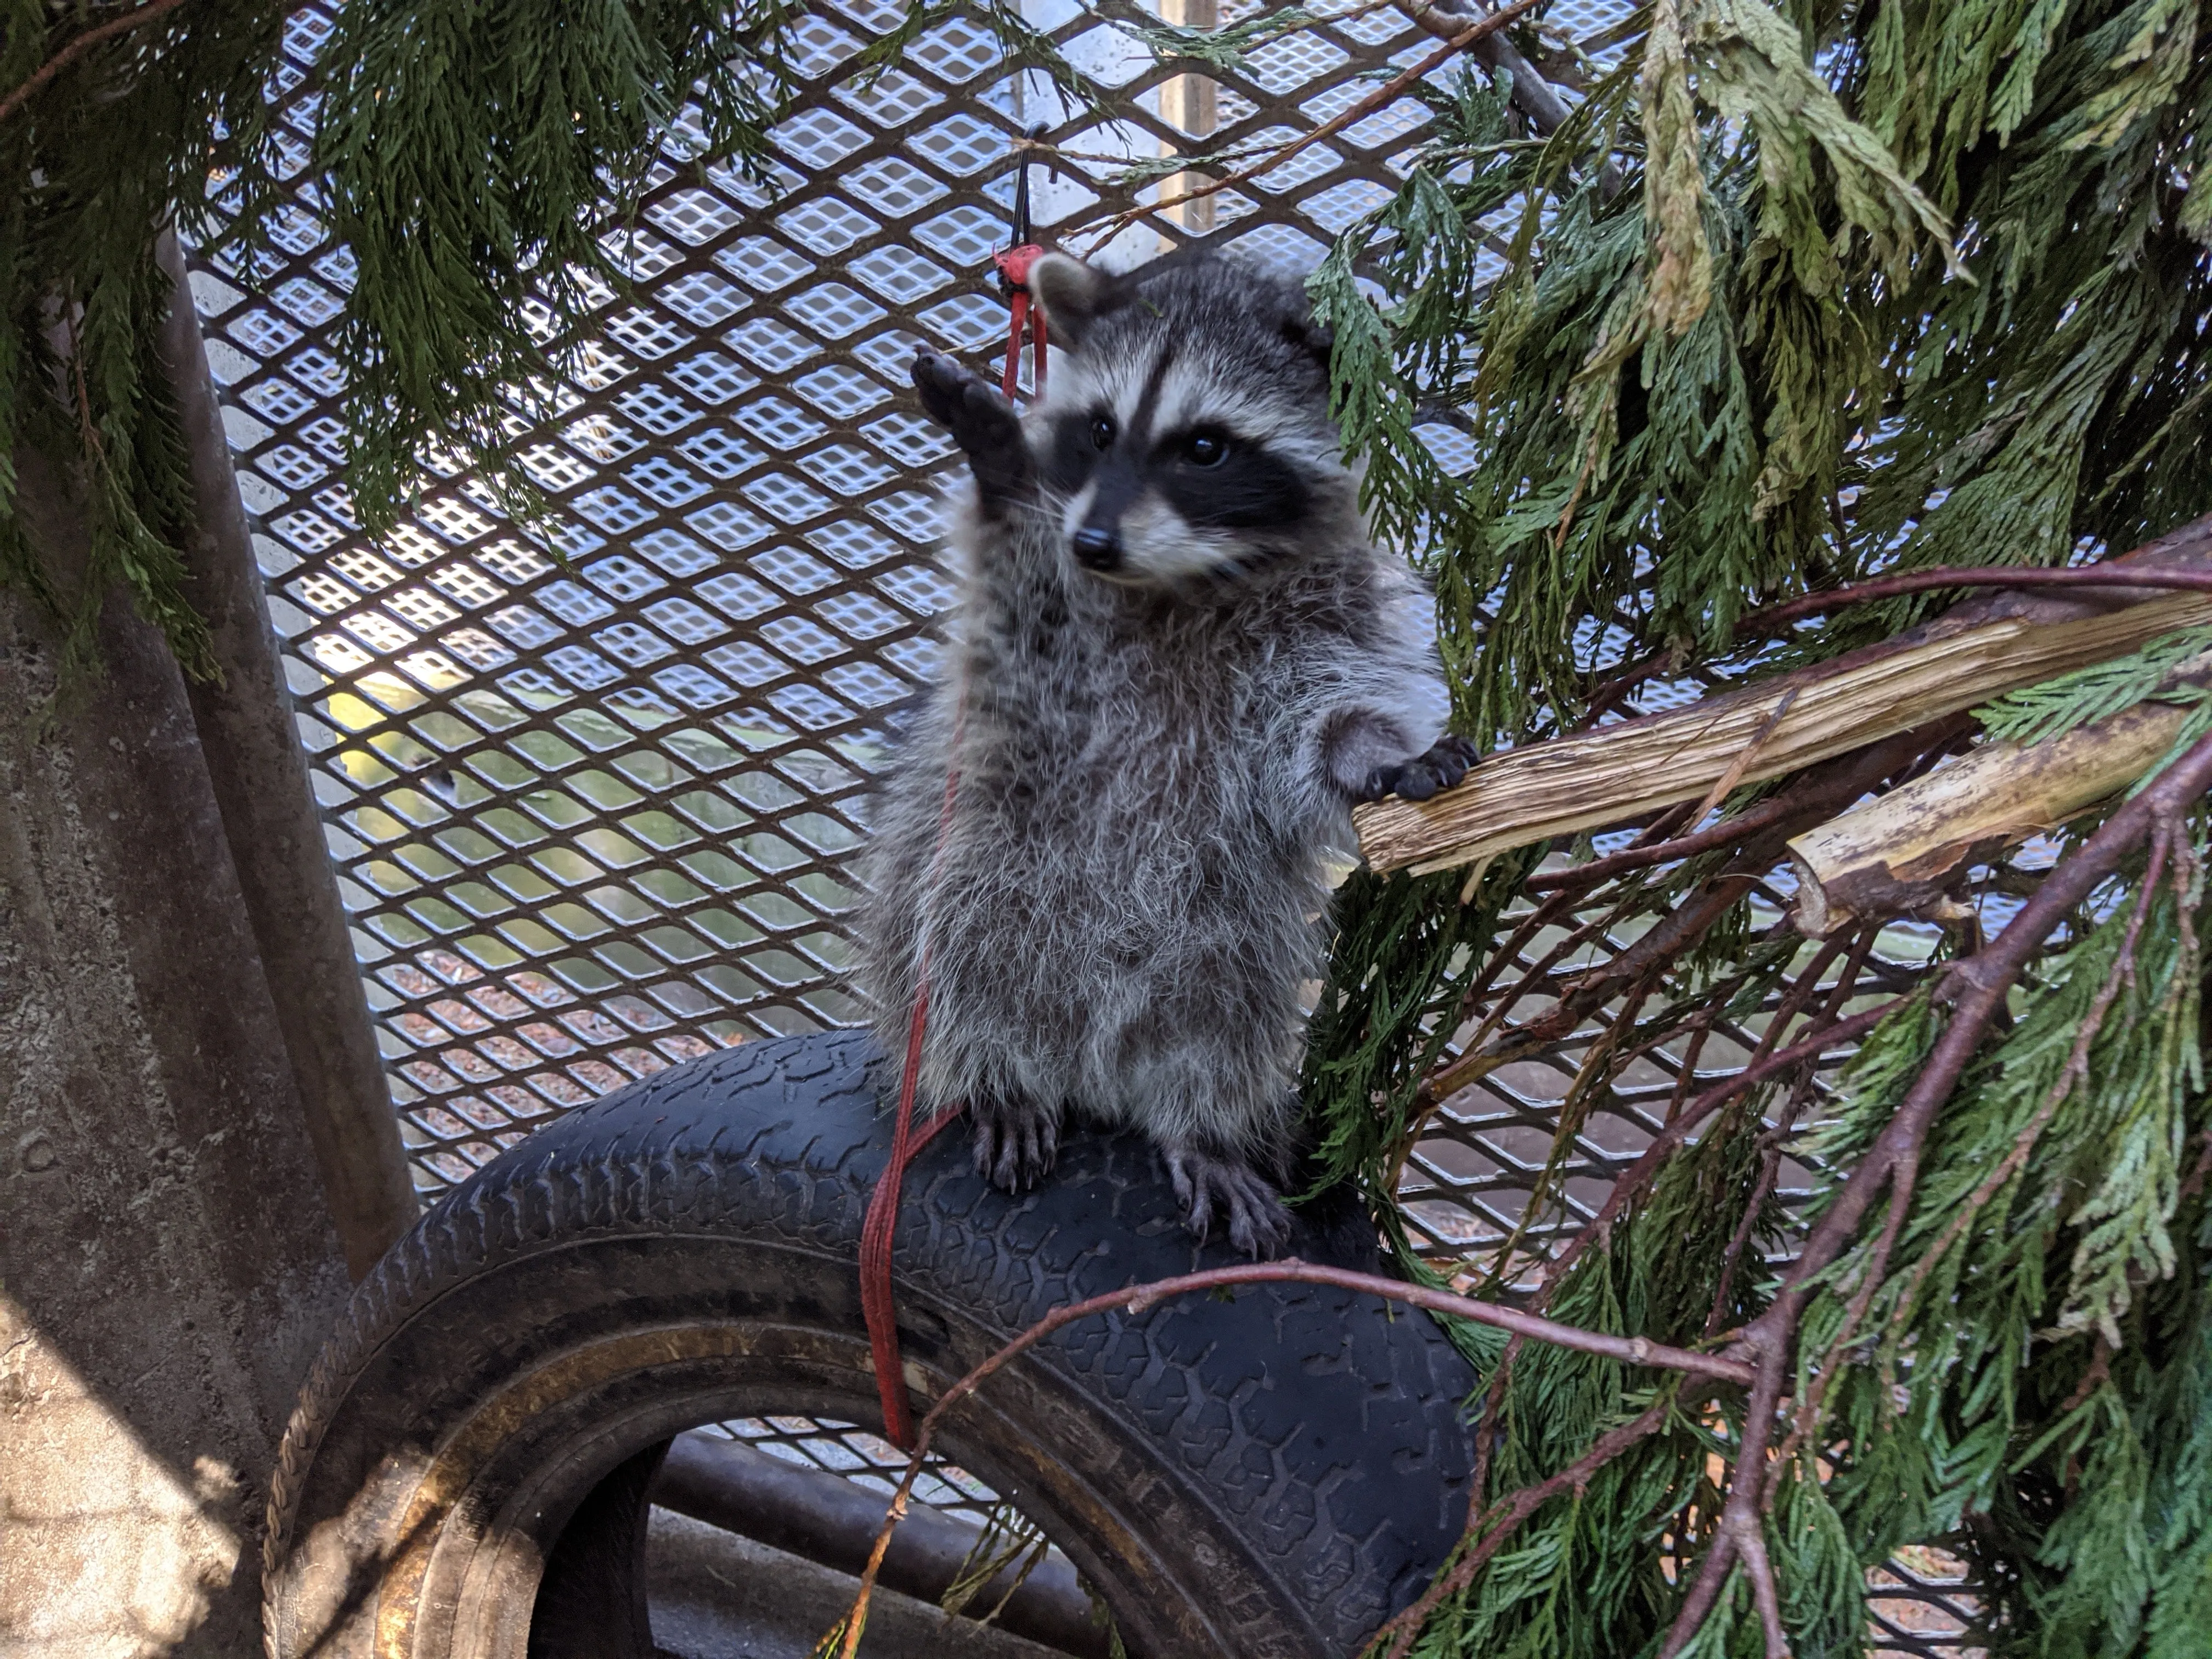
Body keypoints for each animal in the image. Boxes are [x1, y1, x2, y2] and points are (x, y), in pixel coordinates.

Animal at [849, 250, 1469, 1256]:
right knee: (961, 932)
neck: (1181, 579)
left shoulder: (1328, 609)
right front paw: (1004, 472)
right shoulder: (1041, 669)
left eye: (1204, 447)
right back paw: (996, 1070)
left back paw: (1199, 1124)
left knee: (1221, 1012)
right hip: (975, 862)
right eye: (1100, 430)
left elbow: (1321, 725)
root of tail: (1093, 1064)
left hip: (1223, 931)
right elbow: (1018, 604)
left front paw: (1372, 757)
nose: (1094, 540)